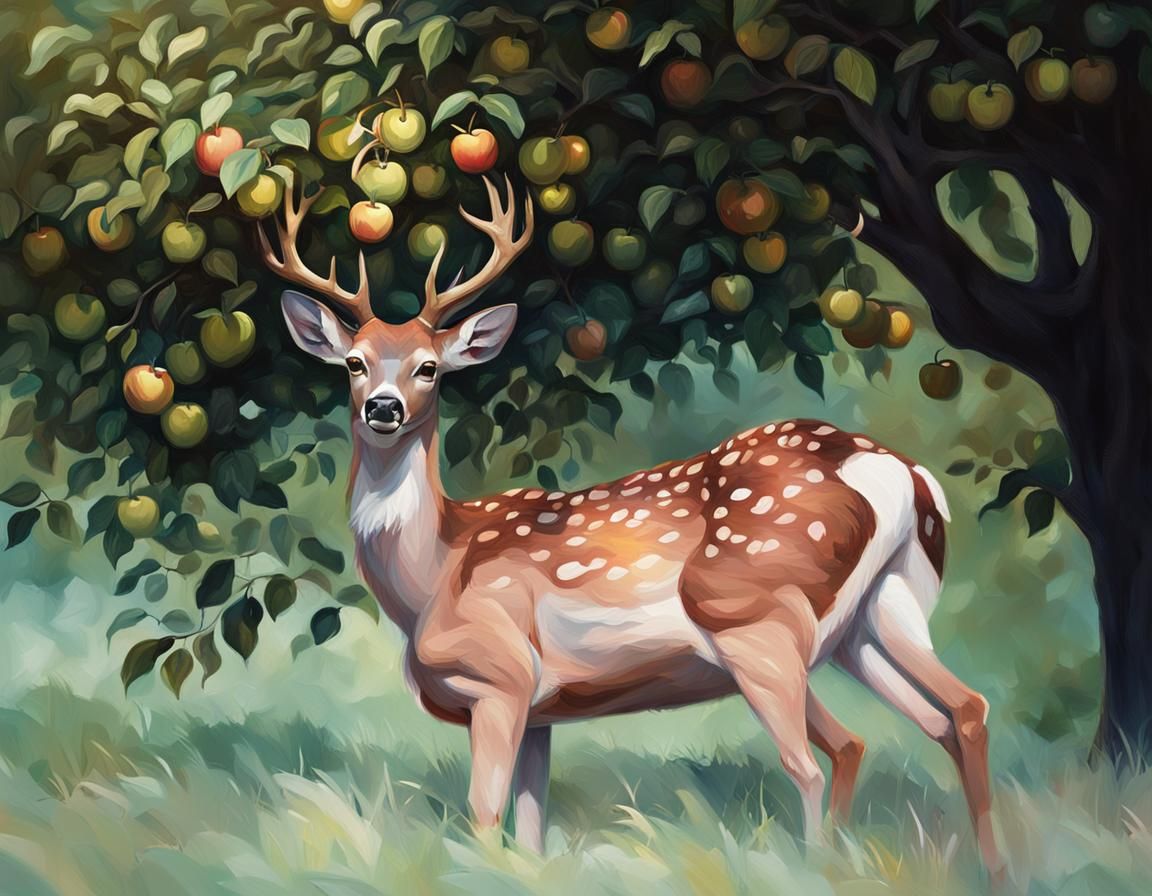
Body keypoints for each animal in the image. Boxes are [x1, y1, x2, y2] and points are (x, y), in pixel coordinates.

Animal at [261, 174, 1003, 875]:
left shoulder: (502, 677)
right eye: (354, 362)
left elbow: (483, 814)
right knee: (941, 715)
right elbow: (531, 829)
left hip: (757, 620)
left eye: (429, 367)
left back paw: (824, 866)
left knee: (819, 760)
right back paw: (987, 866)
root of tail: (898, 472)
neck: (431, 577)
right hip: (875, 614)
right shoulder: (545, 709)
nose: (383, 407)